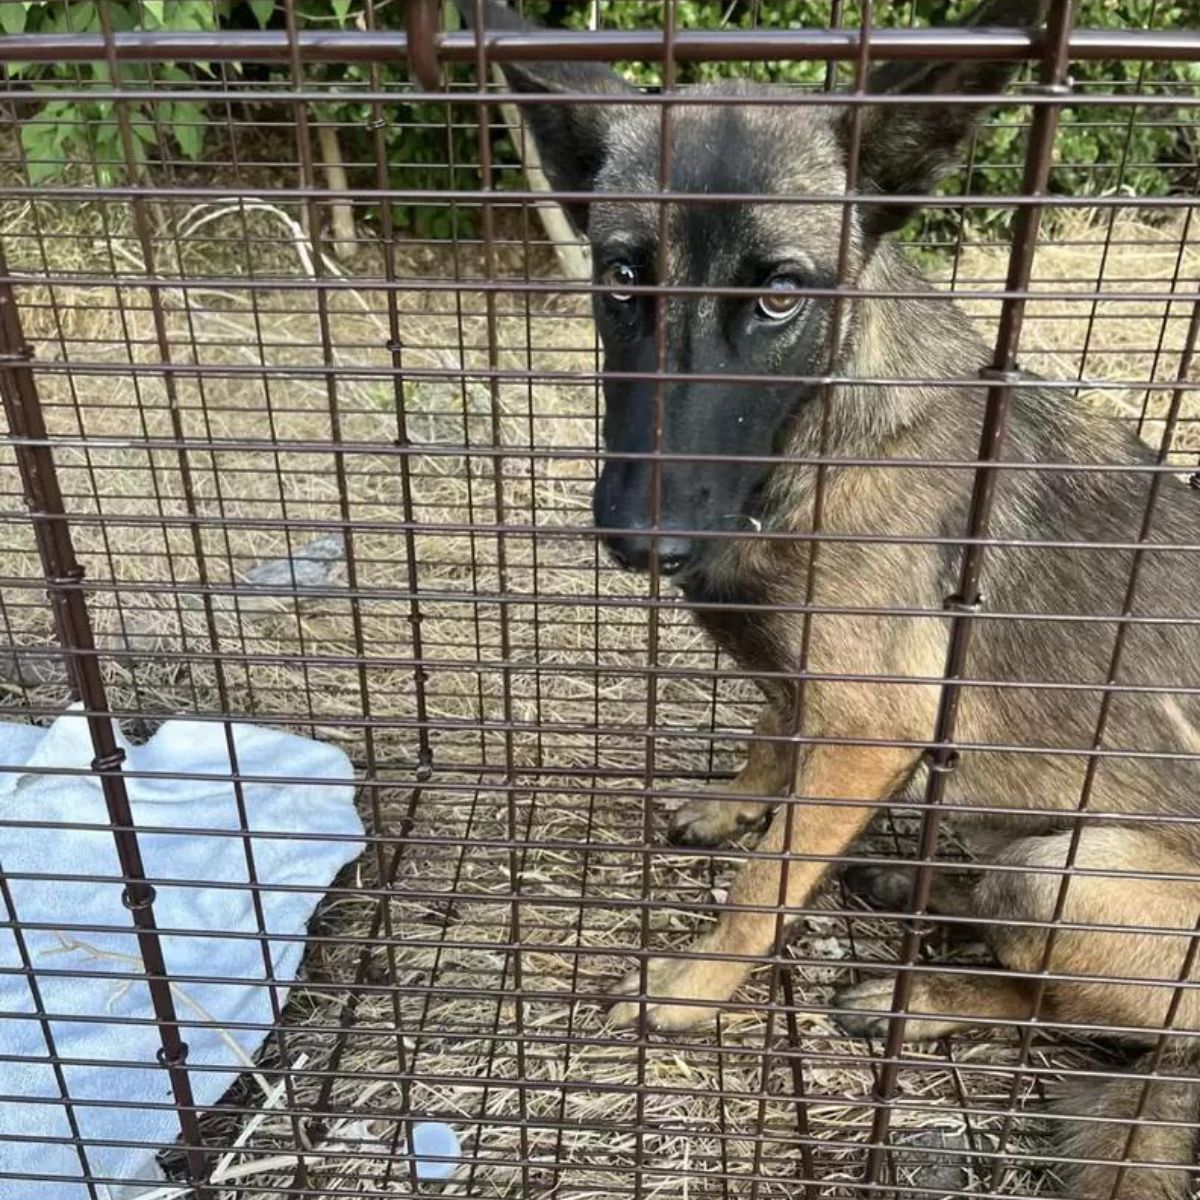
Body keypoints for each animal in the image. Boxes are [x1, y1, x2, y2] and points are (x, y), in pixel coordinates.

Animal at [458, 0, 1200, 1190]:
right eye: (622, 279)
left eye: (778, 294)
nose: (639, 537)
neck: (814, 447)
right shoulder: (807, 684)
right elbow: (773, 729)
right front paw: (738, 799)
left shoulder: (873, 723)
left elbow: (766, 883)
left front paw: (693, 985)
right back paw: (914, 888)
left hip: (1065, 873)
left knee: (1108, 1020)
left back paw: (926, 990)